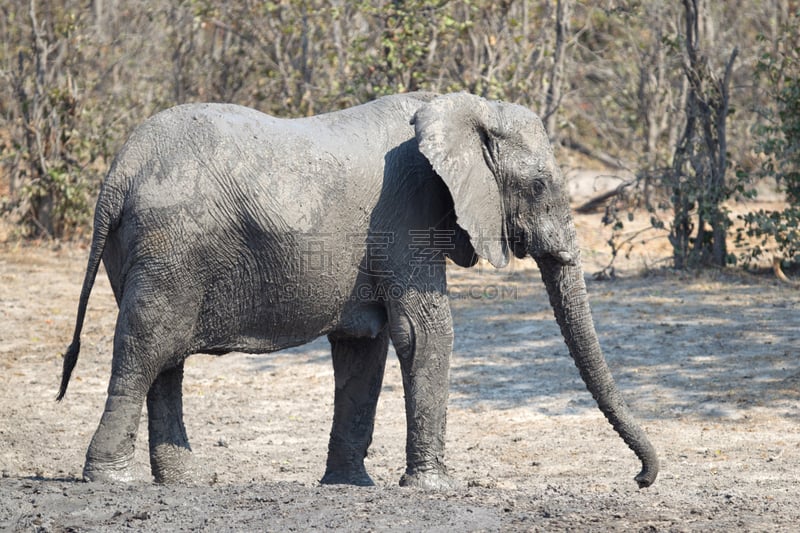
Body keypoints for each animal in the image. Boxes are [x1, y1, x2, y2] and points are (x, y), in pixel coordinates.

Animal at [57, 91, 656, 490]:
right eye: (536, 186)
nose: (640, 479)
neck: (461, 106)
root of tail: (120, 171)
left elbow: (364, 346)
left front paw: (349, 486)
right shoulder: (406, 212)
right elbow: (423, 331)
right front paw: (433, 488)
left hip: (150, 251)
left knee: (166, 358)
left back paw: (181, 484)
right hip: (170, 244)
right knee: (146, 347)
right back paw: (108, 480)